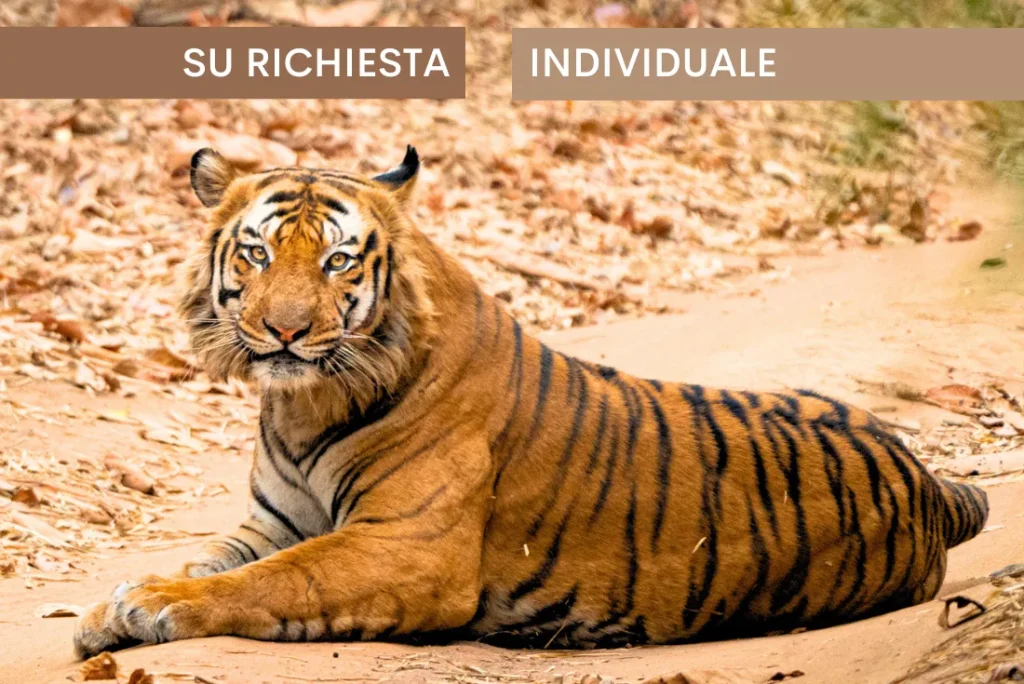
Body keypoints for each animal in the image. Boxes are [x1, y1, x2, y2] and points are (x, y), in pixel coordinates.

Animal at [74, 145, 989, 659]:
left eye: (337, 261)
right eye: (258, 252)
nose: (285, 332)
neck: (302, 406)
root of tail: (926, 480)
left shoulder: (407, 547)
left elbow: (271, 582)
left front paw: (152, 605)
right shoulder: (272, 523)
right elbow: (222, 560)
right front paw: (103, 610)